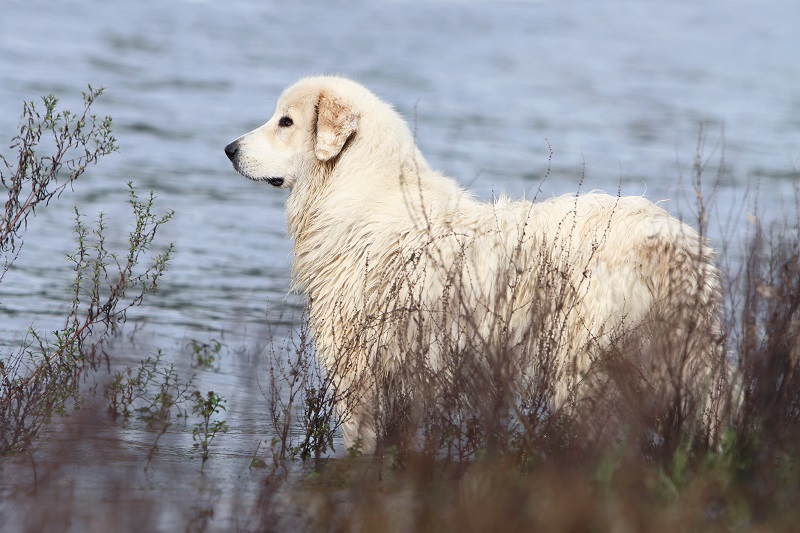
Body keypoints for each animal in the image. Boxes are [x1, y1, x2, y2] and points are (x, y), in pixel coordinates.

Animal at [225, 77, 724, 450]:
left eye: (285, 121)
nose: (229, 149)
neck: (356, 190)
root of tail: (673, 241)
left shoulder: (358, 371)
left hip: (586, 365)